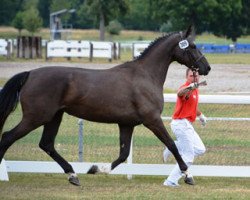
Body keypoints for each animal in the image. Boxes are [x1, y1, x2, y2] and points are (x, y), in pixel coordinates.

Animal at [0, 26, 210, 186]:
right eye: (192, 46)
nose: (207, 68)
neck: (145, 76)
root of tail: (30, 74)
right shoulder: (152, 120)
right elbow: (172, 145)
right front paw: (188, 176)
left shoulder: (127, 124)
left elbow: (123, 154)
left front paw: (95, 168)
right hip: (36, 117)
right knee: (7, 137)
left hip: (54, 117)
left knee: (46, 144)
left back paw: (73, 175)